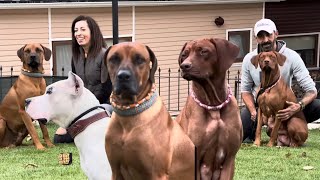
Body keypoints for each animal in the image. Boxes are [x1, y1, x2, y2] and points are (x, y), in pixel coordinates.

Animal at [105, 41, 195, 179]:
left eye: (139, 59)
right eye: (114, 58)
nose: (123, 76)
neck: (129, 113)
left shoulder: (157, 174)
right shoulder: (115, 171)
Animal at [175, 38, 242, 180]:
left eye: (203, 51)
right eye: (184, 54)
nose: (184, 66)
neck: (213, 105)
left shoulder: (230, 158)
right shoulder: (194, 160)